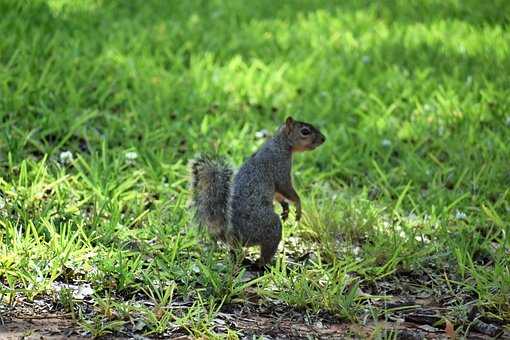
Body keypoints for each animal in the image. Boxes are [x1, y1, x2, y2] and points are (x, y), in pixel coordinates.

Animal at [189, 117, 324, 268]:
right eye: (305, 131)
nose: (323, 139)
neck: (280, 144)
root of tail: (229, 233)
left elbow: (279, 195)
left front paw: (285, 208)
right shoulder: (279, 167)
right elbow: (286, 189)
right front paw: (298, 206)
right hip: (269, 227)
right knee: (266, 249)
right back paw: (264, 264)